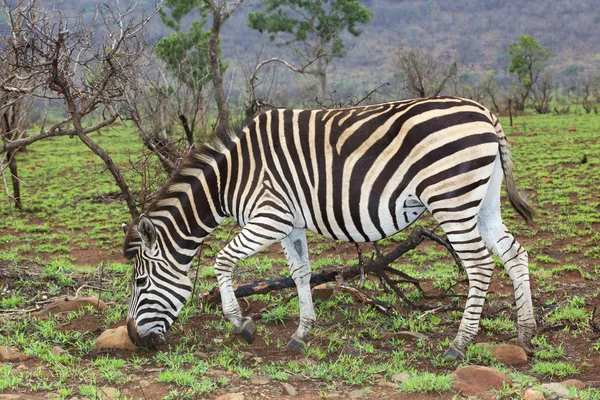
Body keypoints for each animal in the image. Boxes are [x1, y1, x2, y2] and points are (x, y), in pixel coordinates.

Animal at [123, 95, 536, 358]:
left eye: (140, 282)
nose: (133, 340)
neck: (231, 178)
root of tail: (485, 112)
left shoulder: (268, 218)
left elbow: (222, 261)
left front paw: (241, 325)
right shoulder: (289, 223)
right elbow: (301, 273)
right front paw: (301, 333)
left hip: (451, 198)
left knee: (479, 265)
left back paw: (459, 344)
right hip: (482, 201)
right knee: (514, 254)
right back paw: (526, 335)